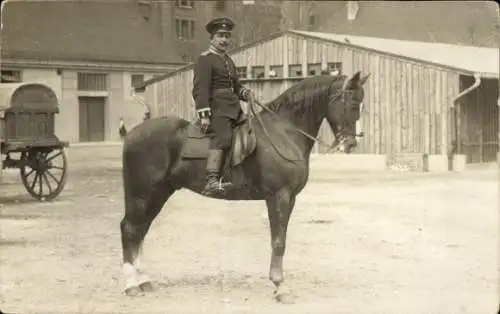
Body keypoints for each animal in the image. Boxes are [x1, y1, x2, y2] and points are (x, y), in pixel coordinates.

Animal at [119, 71, 370, 302]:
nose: (350, 143)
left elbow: (282, 239)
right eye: (351, 102)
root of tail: (132, 133)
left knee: (140, 230)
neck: (283, 132)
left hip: (158, 194)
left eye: (361, 103)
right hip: (143, 195)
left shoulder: (290, 199)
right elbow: (278, 242)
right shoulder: (278, 196)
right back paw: (131, 284)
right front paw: (279, 286)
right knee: (130, 229)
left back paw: (144, 281)